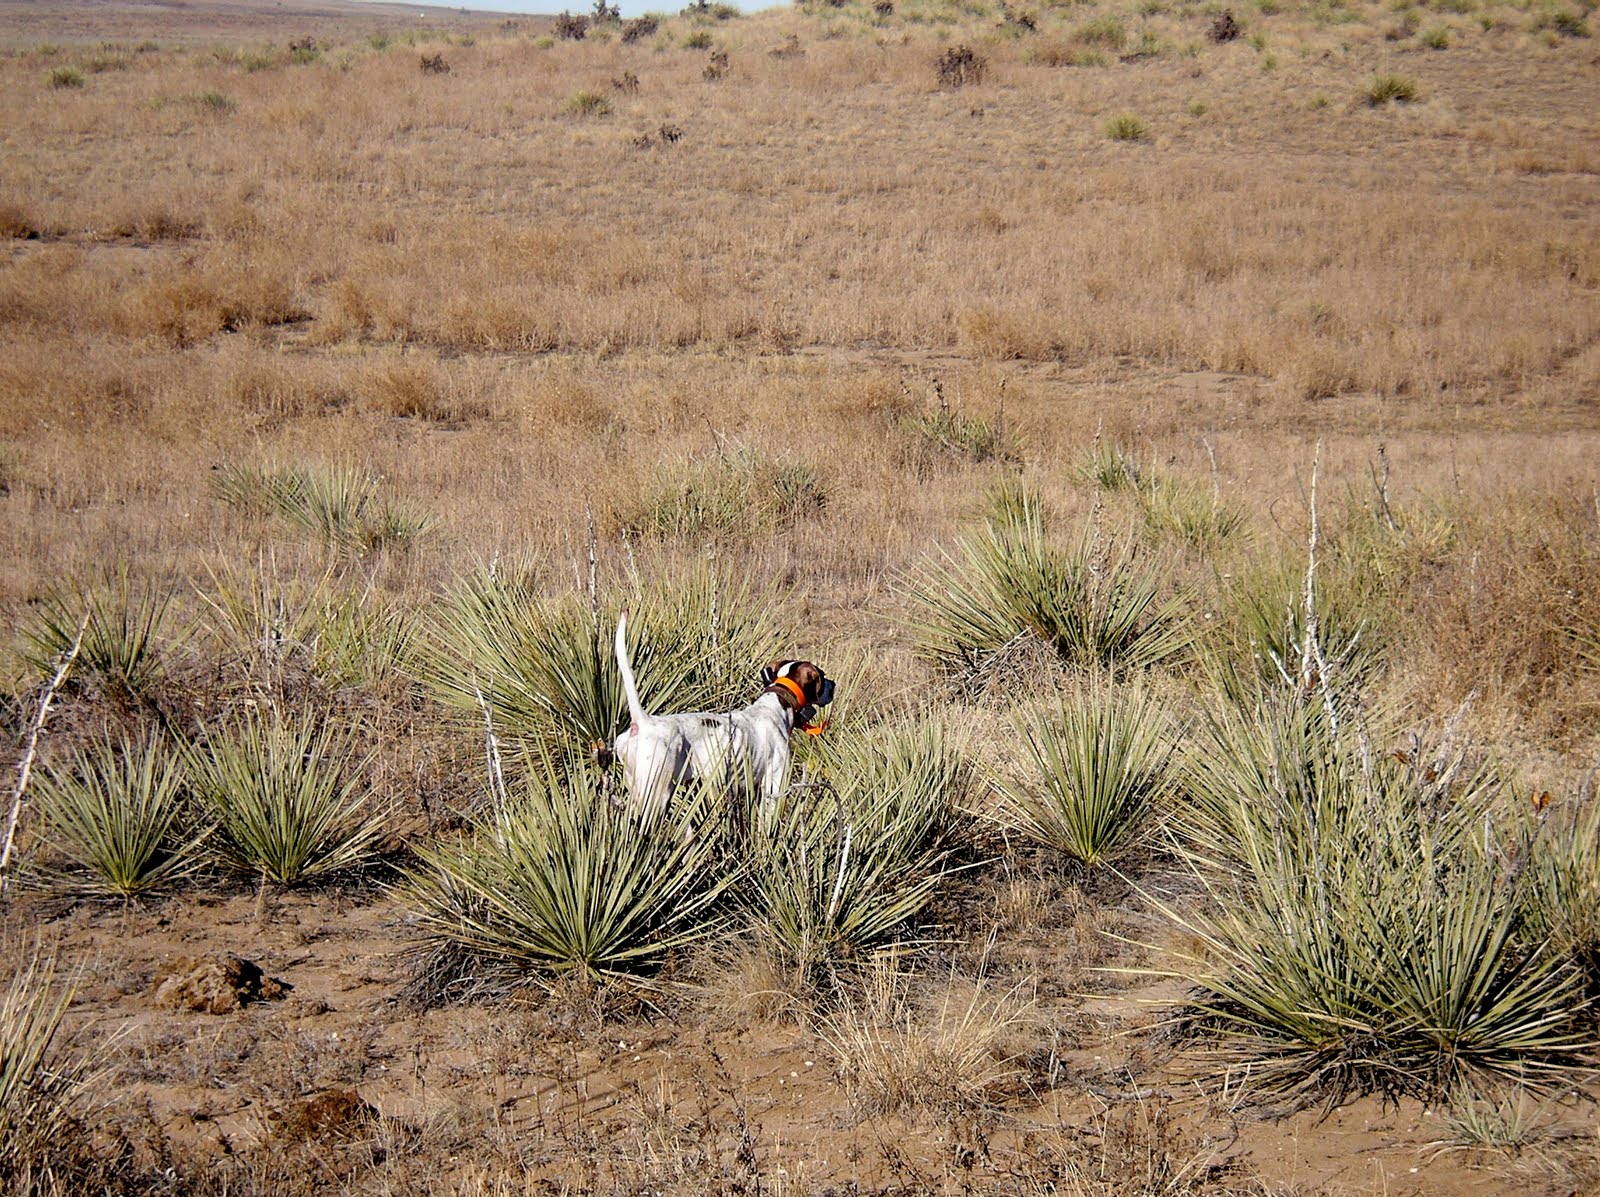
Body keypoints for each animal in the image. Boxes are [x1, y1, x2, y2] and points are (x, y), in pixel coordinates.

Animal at [612, 609, 834, 819]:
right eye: (822, 675)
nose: (834, 684)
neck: (777, 703)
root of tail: (641, 721)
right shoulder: (774, 784)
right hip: (655, 795)